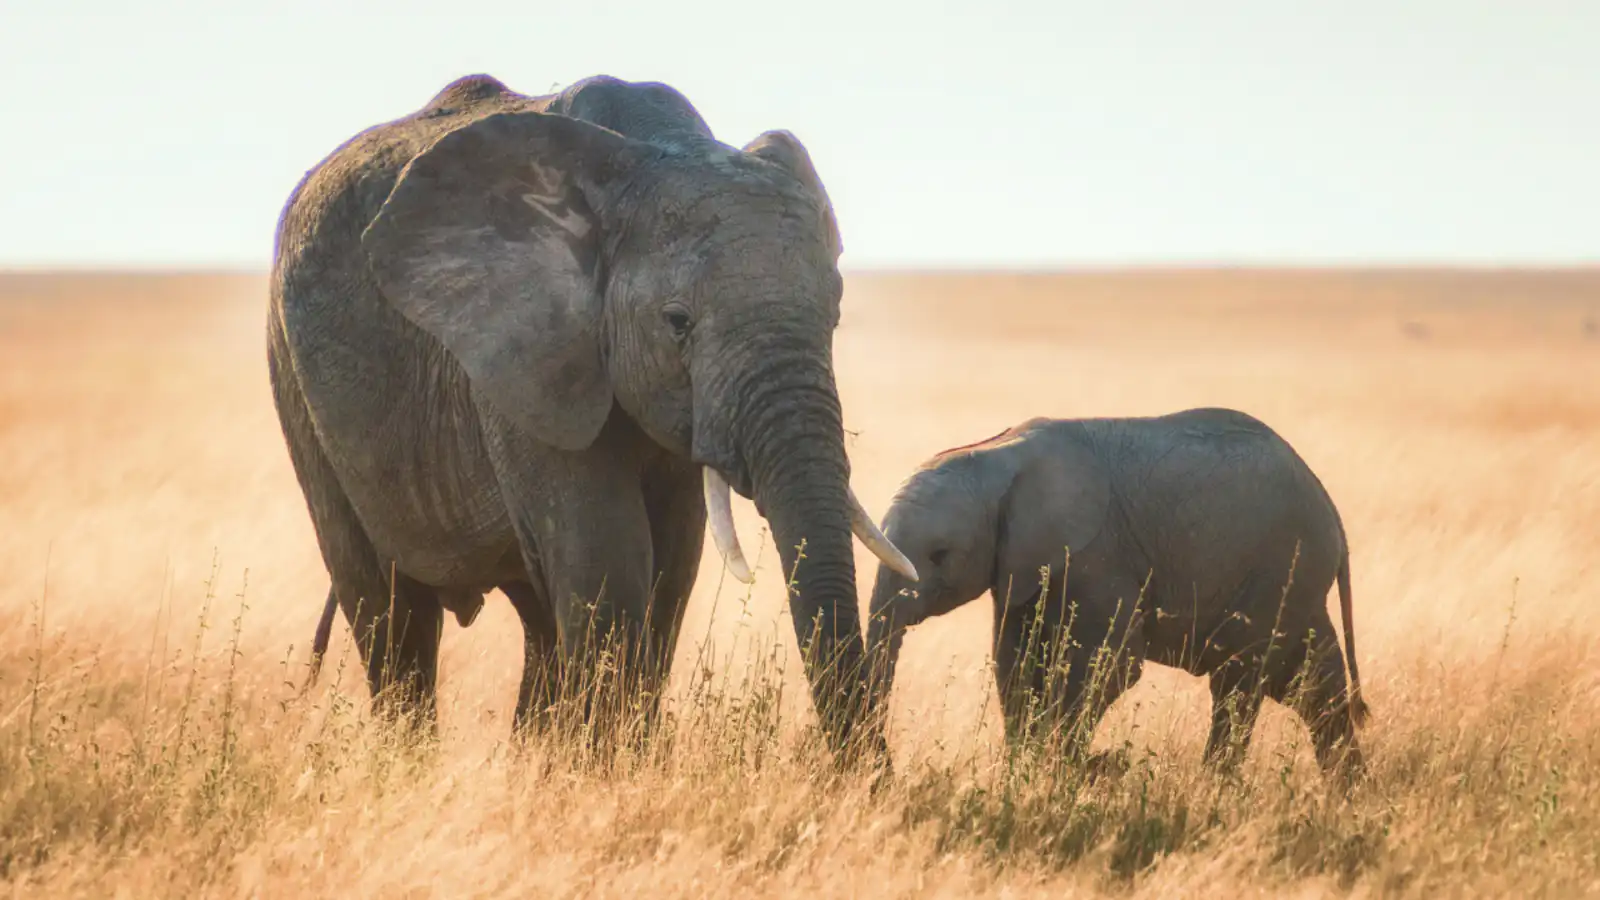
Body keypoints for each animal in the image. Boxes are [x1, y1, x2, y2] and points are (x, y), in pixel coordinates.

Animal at [268, 72, 917, 760]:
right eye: (677, 322)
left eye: (835, 313)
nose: (871, 777)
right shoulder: (521, 353)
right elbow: (607, 555)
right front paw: (607, 768)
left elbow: (671, 565)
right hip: (293, 376)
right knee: (389, 610)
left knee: (535, 620)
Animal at [865, 407, 1370, 779]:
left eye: (940, 555)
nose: (883, 769)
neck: (995, 453)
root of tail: (1333, 513)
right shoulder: (1022, 567)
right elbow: (1016, 666)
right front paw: (1024, 773)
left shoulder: (1099, 554)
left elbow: (1108, 667)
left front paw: (1062, 774)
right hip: (1296, 581)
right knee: (1315, 687)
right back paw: (1348, 795)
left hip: (1281, 569)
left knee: (1238, 683)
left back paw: (1215, 788)